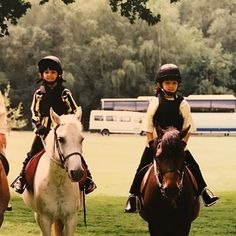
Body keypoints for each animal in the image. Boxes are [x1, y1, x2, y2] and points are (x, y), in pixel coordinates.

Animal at [22, 107, 85, 236]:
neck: (58, 182)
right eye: (61, 139)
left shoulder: (71, 219)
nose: (77, 173)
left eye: (81, 139)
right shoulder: (44, 219)